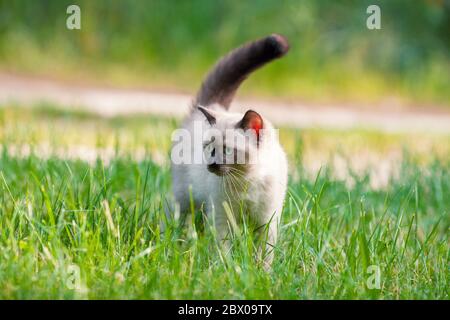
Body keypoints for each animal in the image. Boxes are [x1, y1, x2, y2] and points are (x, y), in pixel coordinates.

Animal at [171, 33, 290, 266]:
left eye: (227, 151)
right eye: (209, 148)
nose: (211, 164)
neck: (246, 181)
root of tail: (214, 106)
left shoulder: (267, 221)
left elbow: (265, 253)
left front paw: (261, 271)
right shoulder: (222, 217)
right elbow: (223, 248)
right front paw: (227, 268)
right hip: (185, 198)